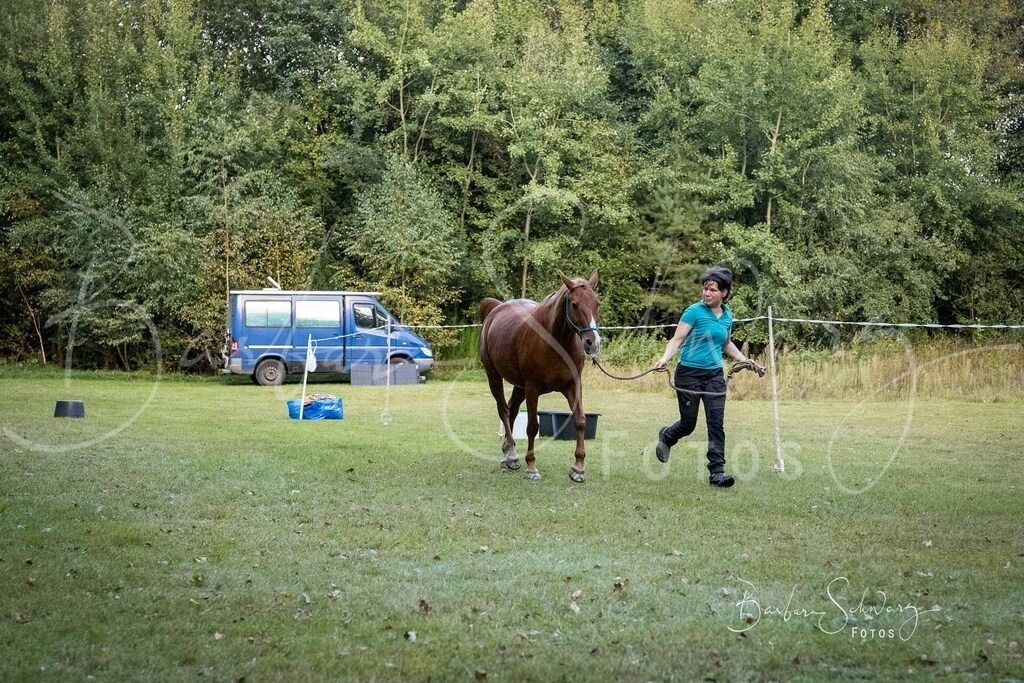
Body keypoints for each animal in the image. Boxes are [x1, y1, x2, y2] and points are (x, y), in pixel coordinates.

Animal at [478, 271, 601, 482]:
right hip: (494, 376)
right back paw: (512, 454)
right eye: (574, 304)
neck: (556, 342)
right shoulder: (532, 388)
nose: (592, 342)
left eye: (597, 304)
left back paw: (508, 454)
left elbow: (580, 420)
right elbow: (532, 426)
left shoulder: (573, 385)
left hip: (520, 387)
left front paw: (578, 468)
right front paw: (531, 467)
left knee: (512, 409)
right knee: (503, 410)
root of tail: (495, 310)